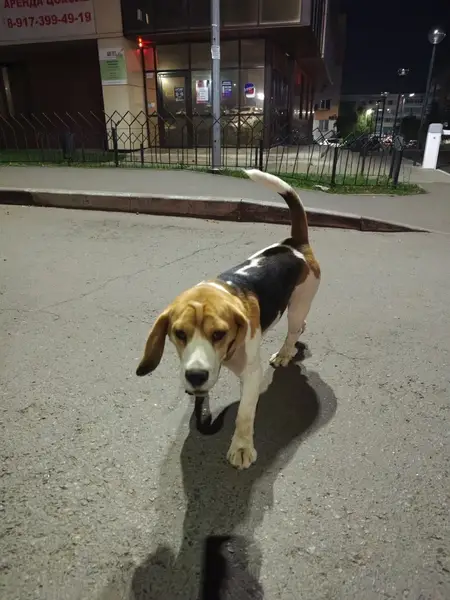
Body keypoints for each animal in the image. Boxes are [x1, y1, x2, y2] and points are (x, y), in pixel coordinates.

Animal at [136, 170, 321, 469]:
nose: (195, 376)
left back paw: (285, 353)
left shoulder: (252, 374)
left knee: (293, 330)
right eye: (179, 333)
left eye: (219, 334)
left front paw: (242, 447)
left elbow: (245, 413)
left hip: (299, 304)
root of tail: (295, 244)